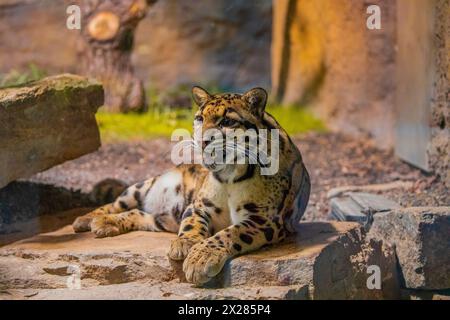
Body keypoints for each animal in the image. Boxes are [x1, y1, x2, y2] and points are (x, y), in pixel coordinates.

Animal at [73, 86, 310, 284]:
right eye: (199, 118)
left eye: (227, 122)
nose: (203, 140)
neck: (230, 175)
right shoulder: (198, 206)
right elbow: (192, 224)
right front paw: (186, 244)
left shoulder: (265, 220)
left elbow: (230, 233)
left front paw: (201, 258)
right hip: (142, 187)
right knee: (117, 204)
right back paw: (90, 220)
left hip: (162, 220)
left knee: (138, 214)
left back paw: (104, 223)